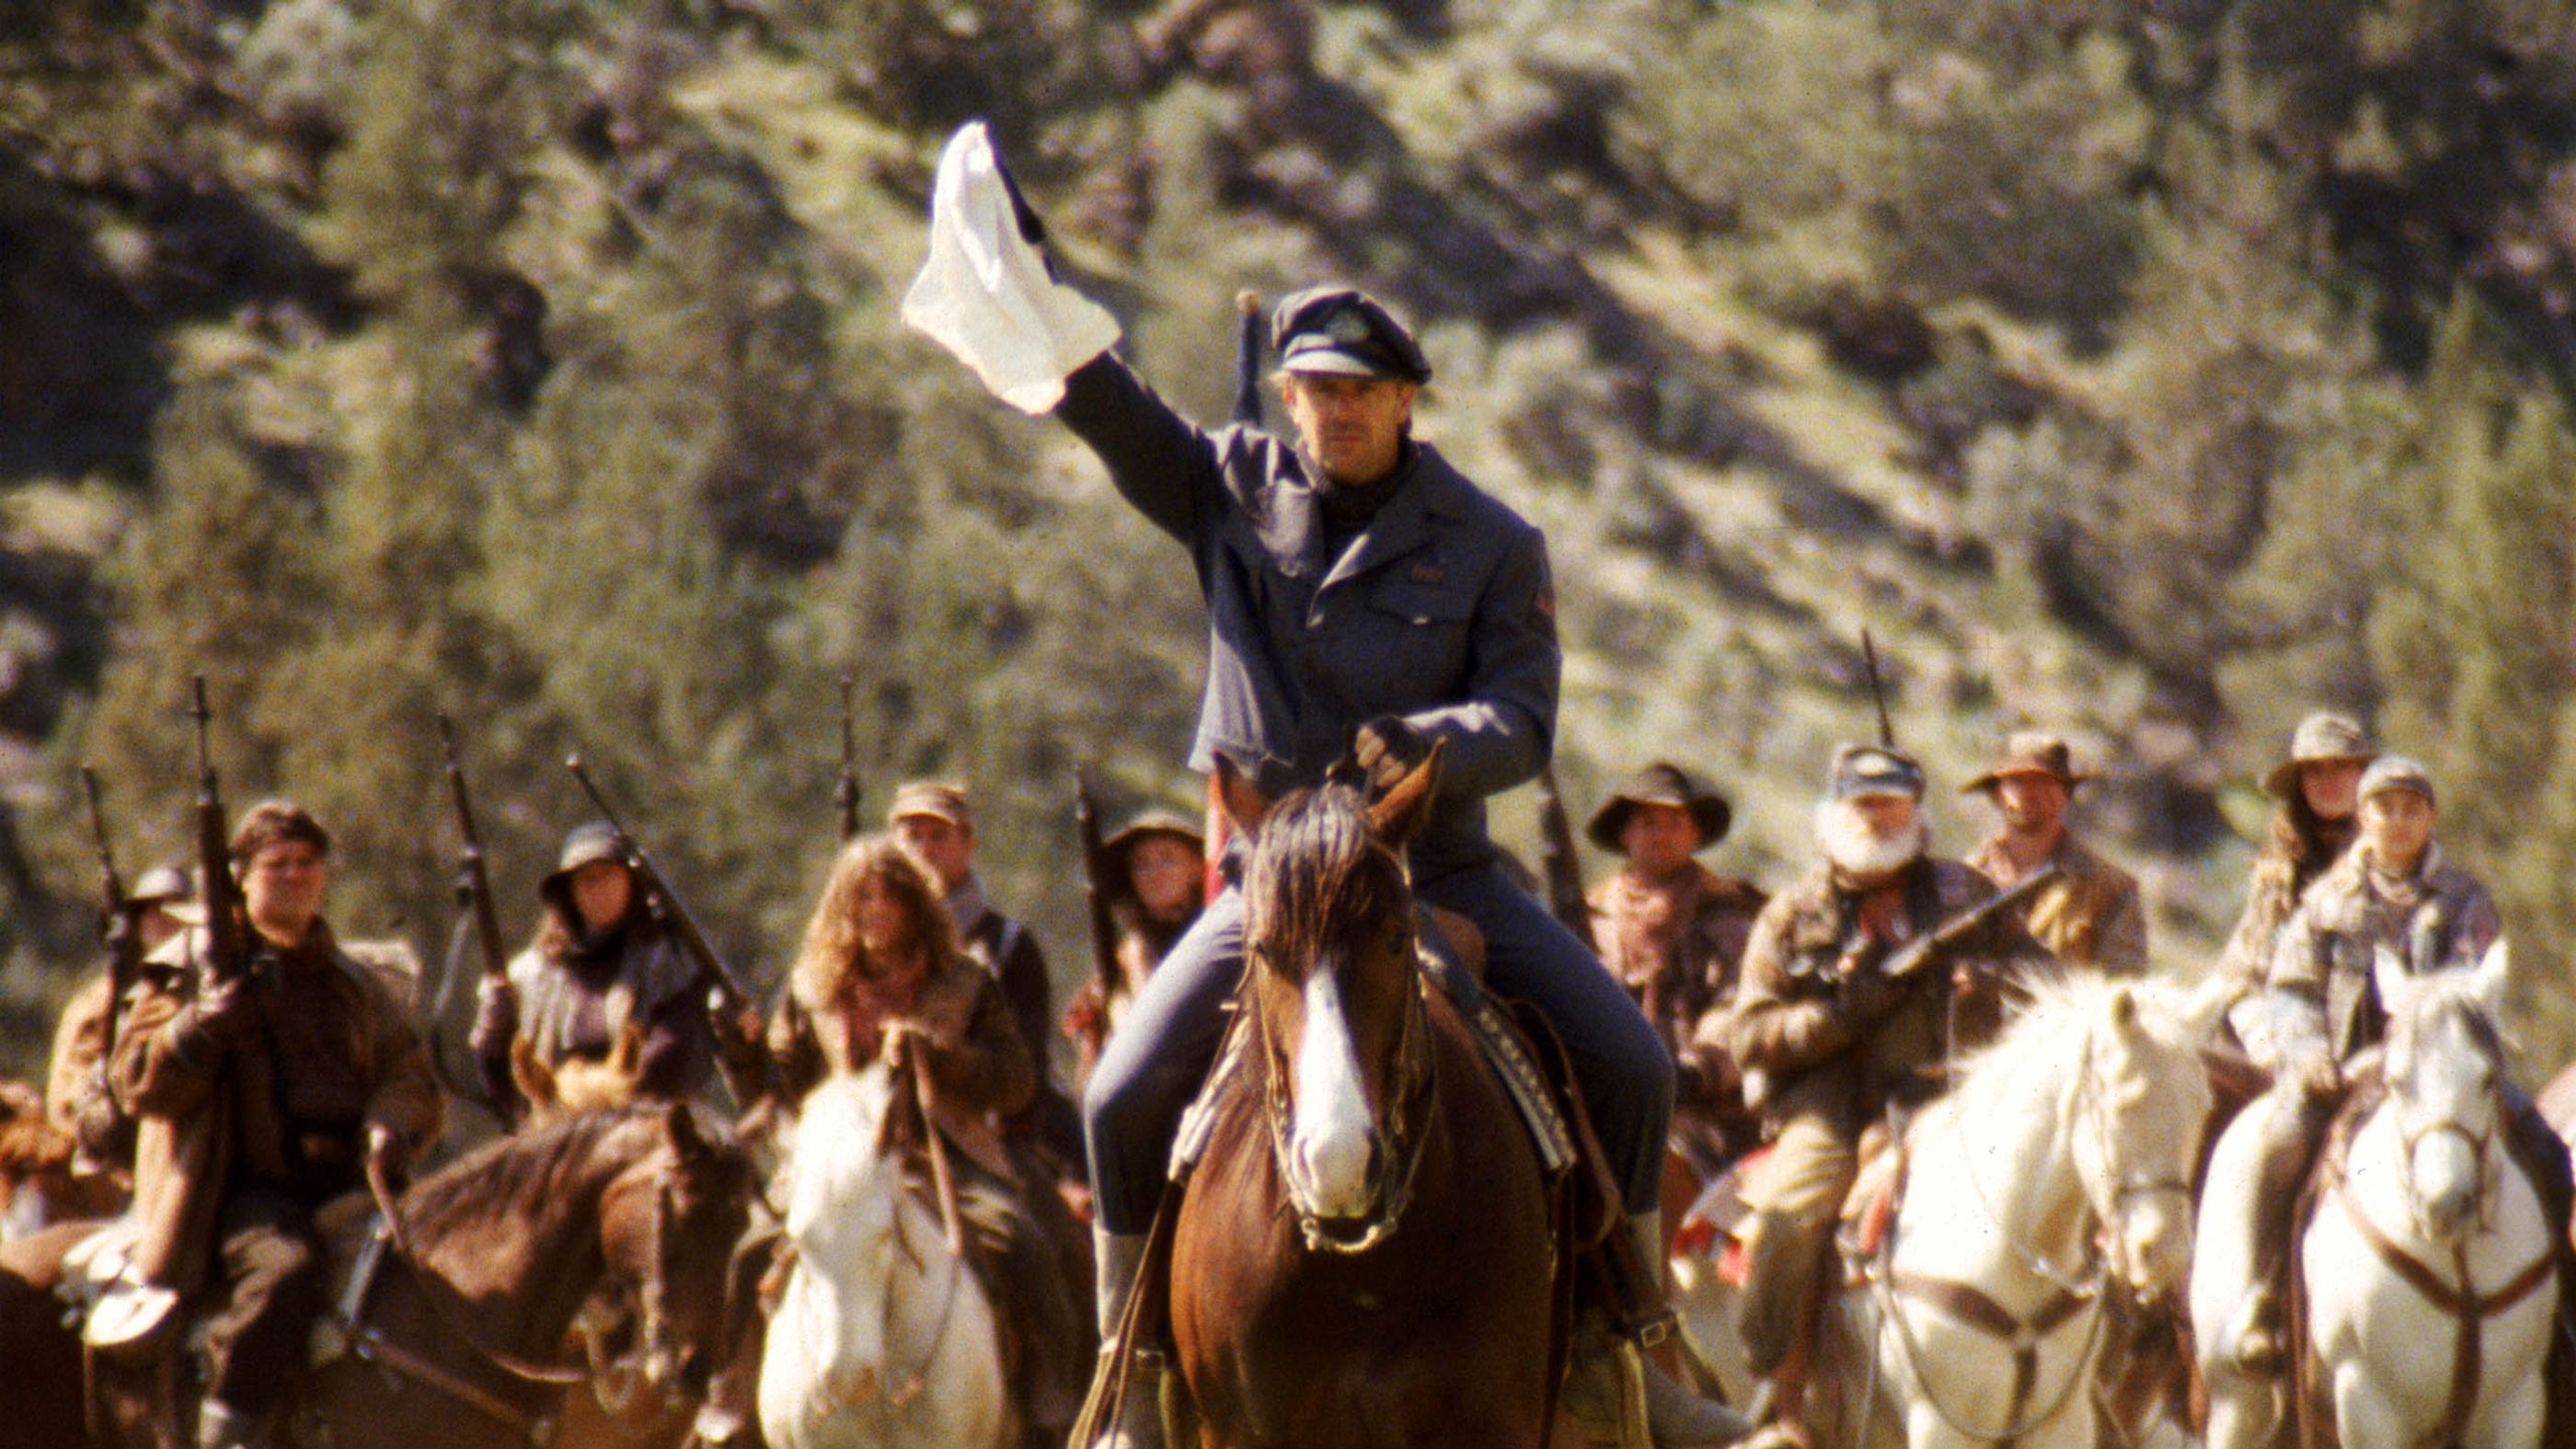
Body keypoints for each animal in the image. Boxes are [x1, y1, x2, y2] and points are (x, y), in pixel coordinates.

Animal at [2184, 943, 2545, 1443]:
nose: (2446, 1205)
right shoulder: (2366, 1402)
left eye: (2488, 1079)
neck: (2459, 1267)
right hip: (2236, 1405)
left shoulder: (2519, 1406)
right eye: (2395, 1082)